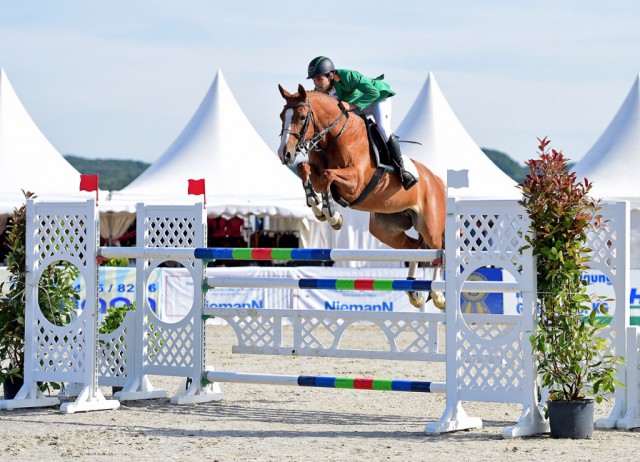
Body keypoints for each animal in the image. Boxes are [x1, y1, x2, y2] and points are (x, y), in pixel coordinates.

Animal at [278, 84, 448, 310]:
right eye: (282, 116)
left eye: (302, 116)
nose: (284, 154)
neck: (335, 136)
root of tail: (437, 181)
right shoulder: (318, 172)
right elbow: (305, 169)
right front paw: (317, 206)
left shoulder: (356, 183)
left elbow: (327, 175)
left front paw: (332, 215)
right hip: (386, 228)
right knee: (415, 249)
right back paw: (414, 292)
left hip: (429, 226)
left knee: (438, 251)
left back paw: (437, 295)